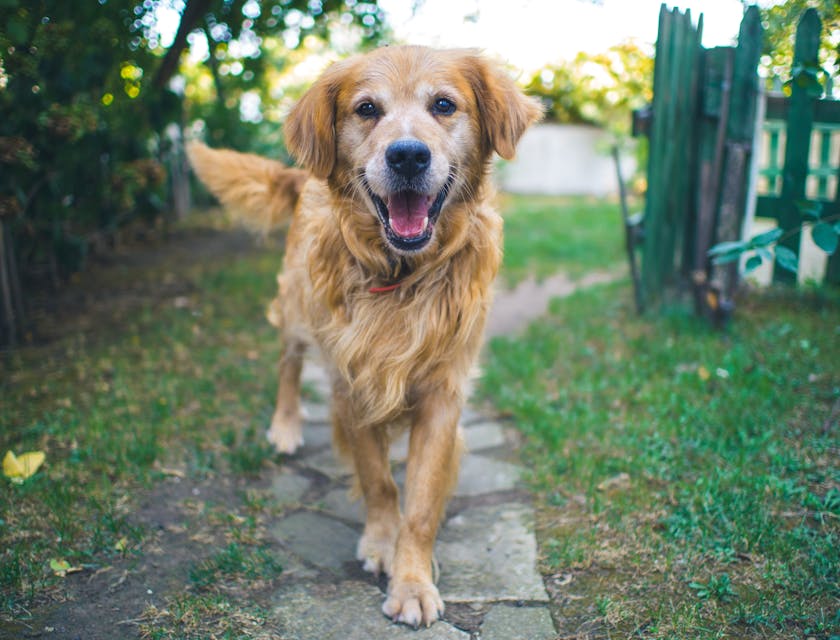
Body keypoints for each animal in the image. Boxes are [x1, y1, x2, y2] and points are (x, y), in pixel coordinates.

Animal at [187, 47, 540, 628]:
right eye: (367, 109)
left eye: (444, 105)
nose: (407, 156)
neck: (402, 276)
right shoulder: (352, 383)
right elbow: (379, 480)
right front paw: (381, 542)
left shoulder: (443, 394)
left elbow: (420, 502)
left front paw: (412, 578)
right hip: (297, 311)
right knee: (287, 364)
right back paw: (285, 426)